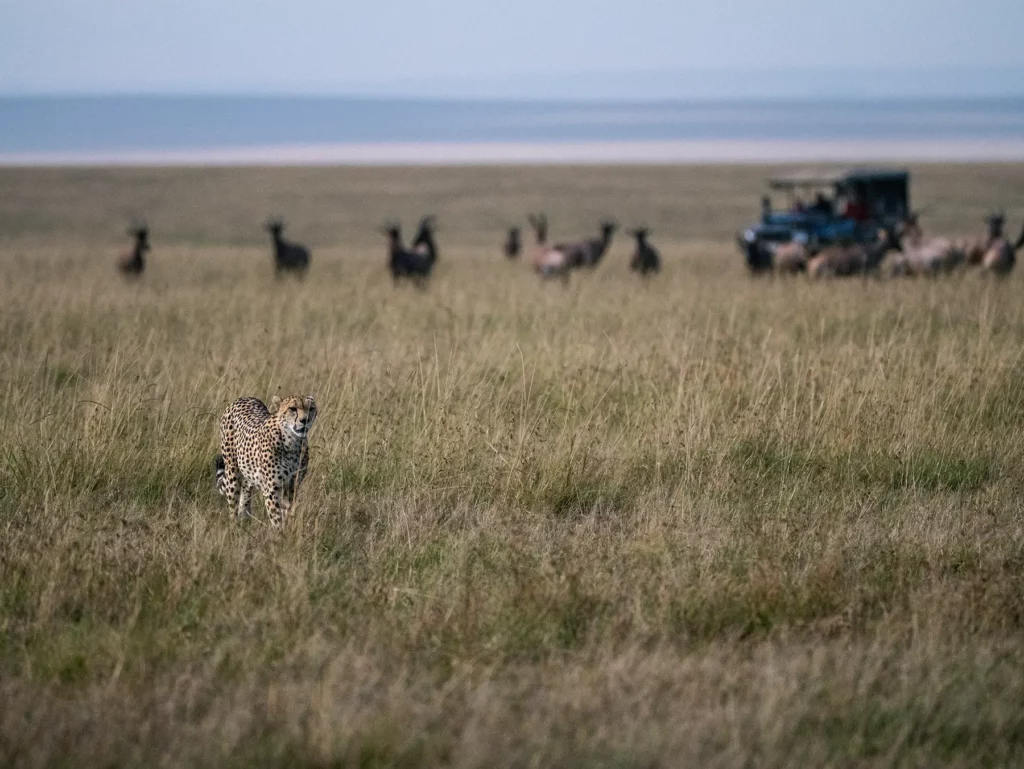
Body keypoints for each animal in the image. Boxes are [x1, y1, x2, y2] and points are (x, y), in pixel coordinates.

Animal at [213, 394, 317, 526]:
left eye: (311, 409)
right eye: (292, 409)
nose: (305, 420)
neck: (292, 442)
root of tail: (244, 397)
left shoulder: (292, 487)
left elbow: (288, 513)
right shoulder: (271, 489)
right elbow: (277, 519)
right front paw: (280, 531)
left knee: (245, 495)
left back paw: (244, 520)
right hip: (232, 472)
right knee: (233, 506)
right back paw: (234, 525)